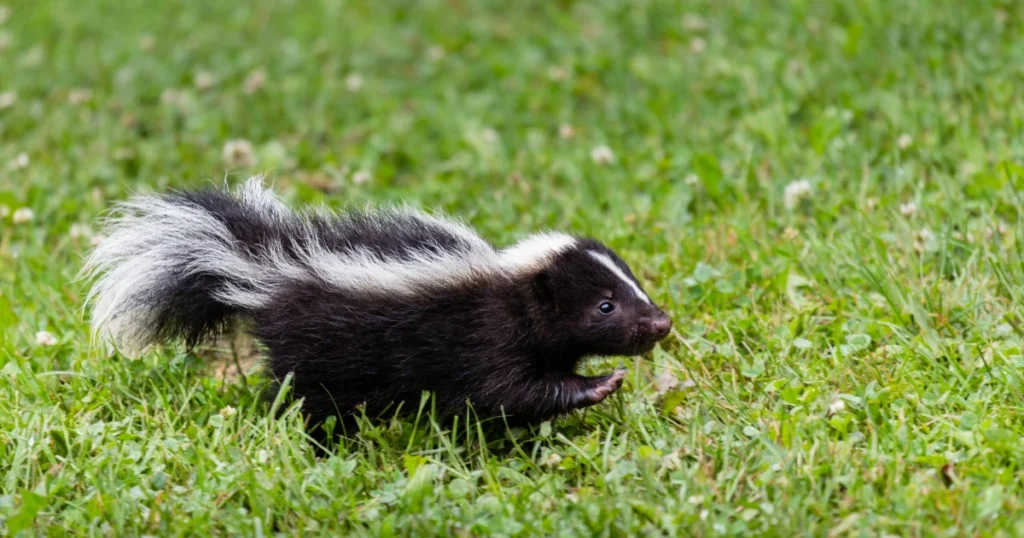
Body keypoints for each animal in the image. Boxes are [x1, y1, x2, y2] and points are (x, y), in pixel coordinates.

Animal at [83, 178, 675, 430]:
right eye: (605, 306)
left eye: (634, 287)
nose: (661, 322)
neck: (509, 287)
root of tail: (266, 262)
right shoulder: (482, 337)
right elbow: (506, 392)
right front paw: (598, 385)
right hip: (318, 350)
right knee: (305, 399)